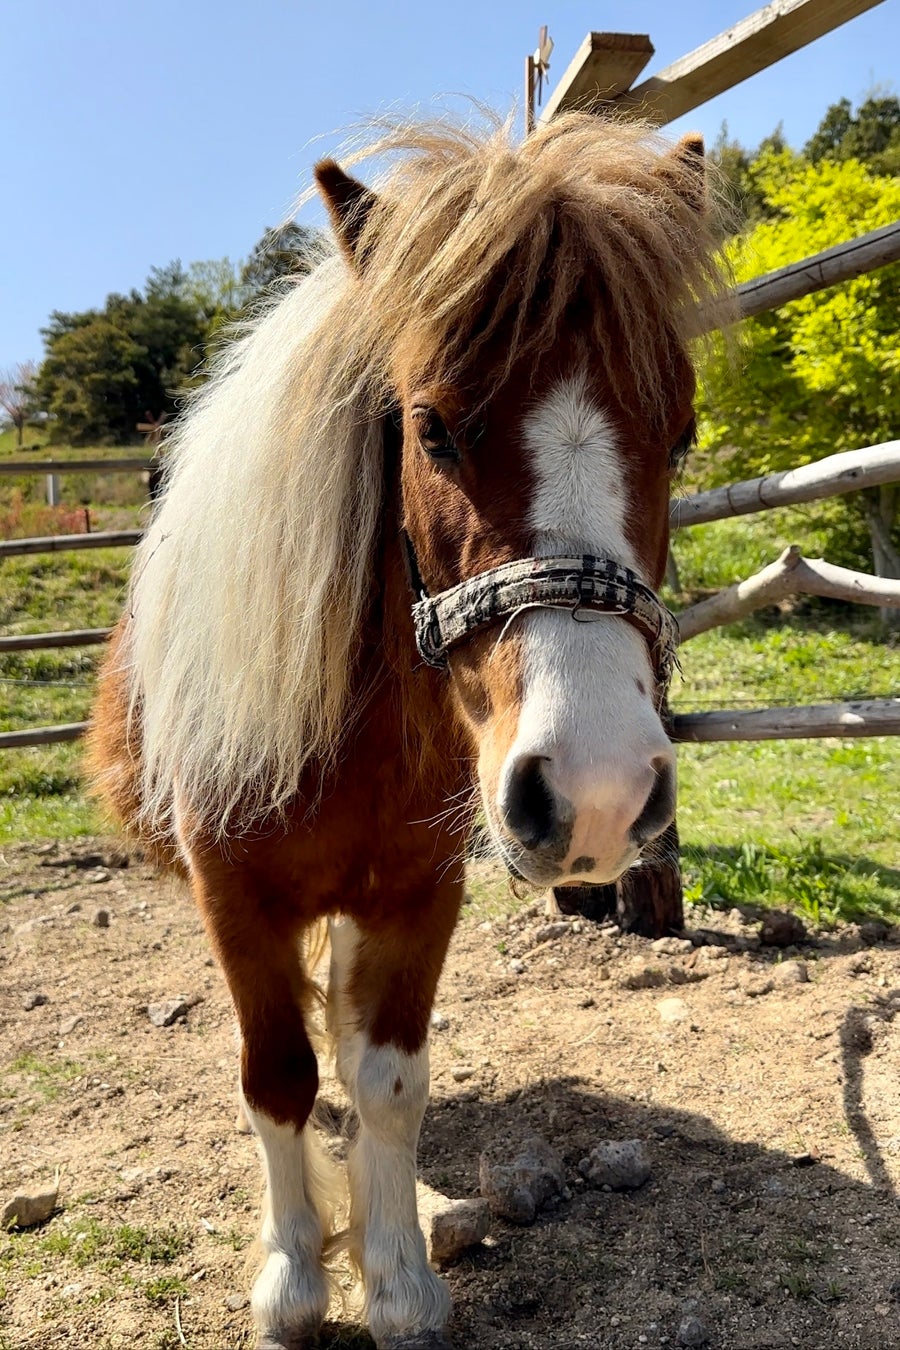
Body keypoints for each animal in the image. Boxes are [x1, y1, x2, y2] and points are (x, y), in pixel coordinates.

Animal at [89, 113, 723, 1350]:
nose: (599, 790)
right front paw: (293, 1280)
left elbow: (384, 1077)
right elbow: (276, 1075)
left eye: (680, 435)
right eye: (430, 428)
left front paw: (395, 1282)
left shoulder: (417, 895)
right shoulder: (234, 900)